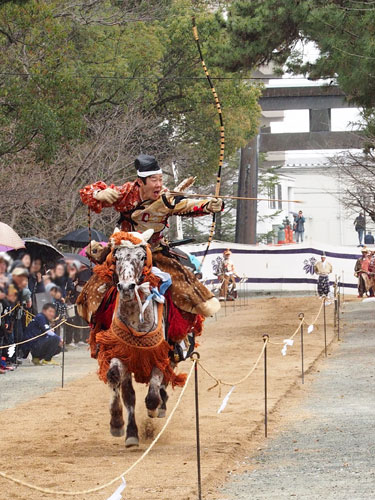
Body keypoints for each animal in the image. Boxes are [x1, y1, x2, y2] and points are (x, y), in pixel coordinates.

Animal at [89, 229, 187, 448]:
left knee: (164, 380)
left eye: (142, 257)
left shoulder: (158, 355)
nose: (126, 287)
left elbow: (153, 394)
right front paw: (118, 425)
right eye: (116, 257)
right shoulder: (121, 352)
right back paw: (131, 431)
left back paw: (161, 407)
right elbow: (117, 381)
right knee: (129, 393)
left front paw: (154, 408)